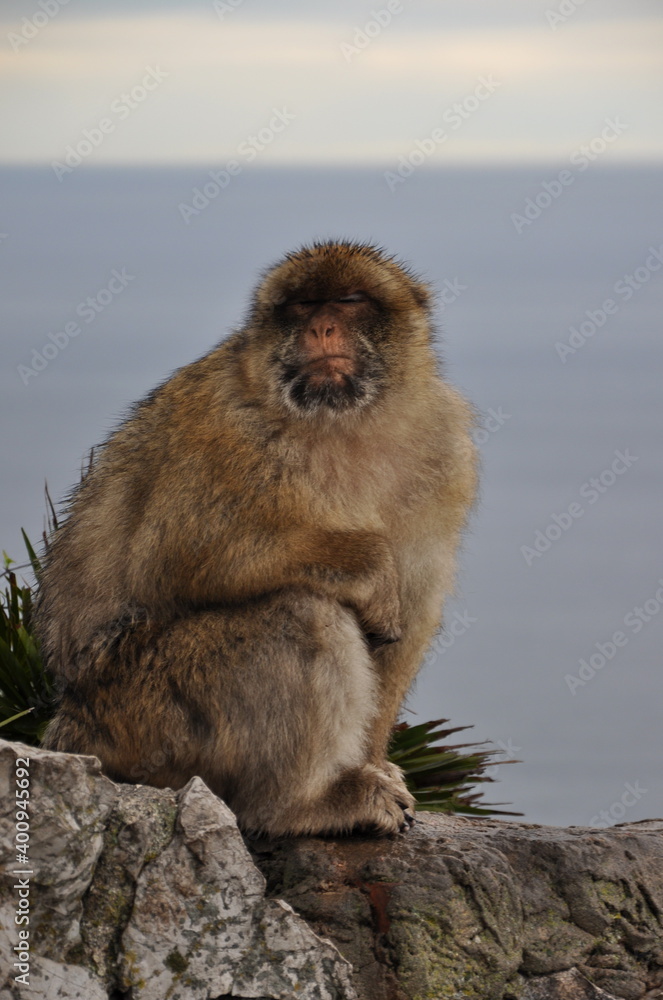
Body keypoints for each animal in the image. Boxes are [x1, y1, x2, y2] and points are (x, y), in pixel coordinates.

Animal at [37, 241, 478, 837]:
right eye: (302, 305)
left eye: (350, 300)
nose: (322, 328)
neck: (343, 423)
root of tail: (70, 726)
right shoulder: (225, 428)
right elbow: (176, 558)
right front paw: (370, 569)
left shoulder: (445, 449)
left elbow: (413, 616)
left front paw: (373, 758)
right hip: (144, 718)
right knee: (301, 613)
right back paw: (301, 804)